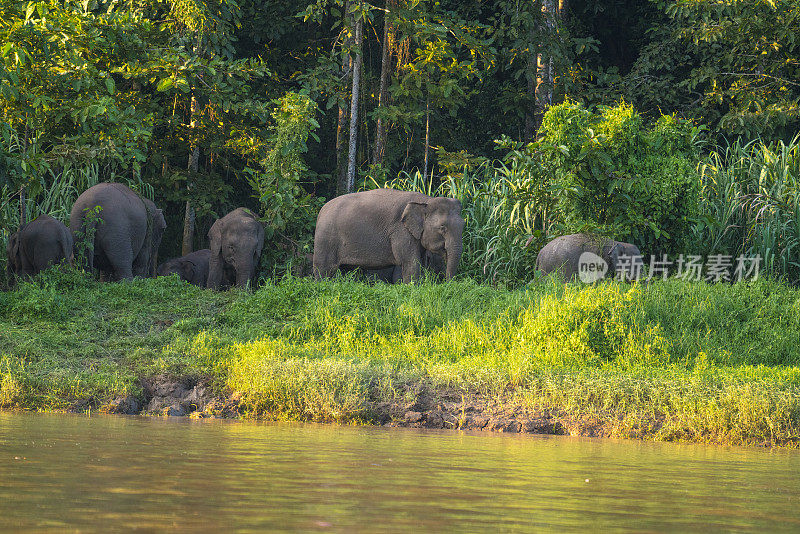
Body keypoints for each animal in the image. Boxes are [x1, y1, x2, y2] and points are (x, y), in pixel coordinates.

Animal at [310, 187, 462, 282]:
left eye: (464, 224)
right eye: (442, 228)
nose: (447, 284)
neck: (426, 201)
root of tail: (321, 210)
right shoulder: (400, 231)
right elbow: (410, 263)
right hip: (326, 238)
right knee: (324, 269)